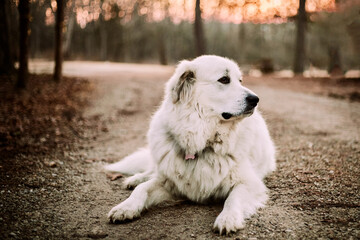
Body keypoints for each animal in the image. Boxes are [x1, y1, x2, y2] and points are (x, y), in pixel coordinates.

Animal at [104, 54, 276, 234]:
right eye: (224, 79)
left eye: (240, 80)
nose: (256, 100)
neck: (201, 142)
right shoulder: (171, 183)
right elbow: (142, 189)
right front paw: (126, 207)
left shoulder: (249, 183)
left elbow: (233, 199)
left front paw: (227, 218)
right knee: (152, 171)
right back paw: (136, 179)